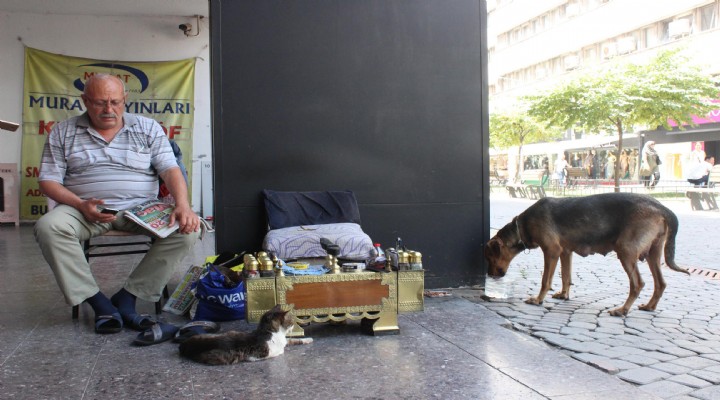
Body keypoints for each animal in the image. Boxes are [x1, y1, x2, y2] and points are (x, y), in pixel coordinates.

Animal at [179, 304, 310, 364]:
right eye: (290, 320)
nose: (293, 325)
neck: (268, 332)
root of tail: (184, 344)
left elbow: (291, 340)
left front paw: (308, 339)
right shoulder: (259, 354)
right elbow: (281, 350)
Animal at [486, 193, 688, 316]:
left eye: (489, 257)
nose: (489, 274)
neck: (522, 227)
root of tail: (661, 207)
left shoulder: (551, 251)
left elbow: (546, 281)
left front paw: (538, 299)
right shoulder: (565, 252)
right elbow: (566, 276)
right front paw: (564, 294)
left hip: (626, 251)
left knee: (638, 284)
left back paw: (622, 310)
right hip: (654, 253)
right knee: (660, 283)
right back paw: (649, 306)